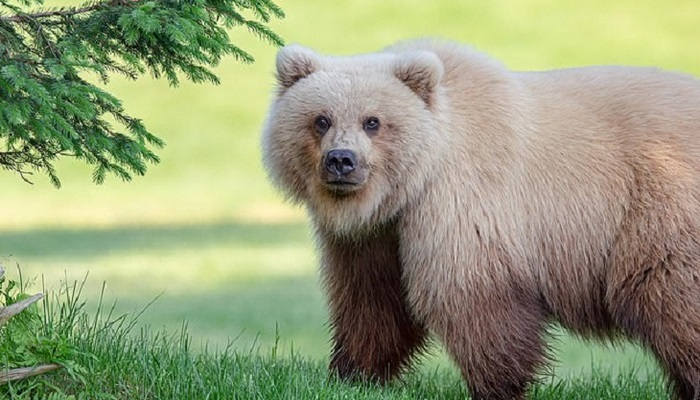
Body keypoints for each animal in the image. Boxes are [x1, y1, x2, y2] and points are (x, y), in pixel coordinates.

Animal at [260, 38, 700, 400]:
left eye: (373, 121)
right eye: (321, 119)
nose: (341, 161)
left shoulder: (463, 199)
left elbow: (471, 296)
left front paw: (497, 385)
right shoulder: (374, 237)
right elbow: (371, 300)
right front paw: (352, 374)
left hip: (660, 207)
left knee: (672, 297)